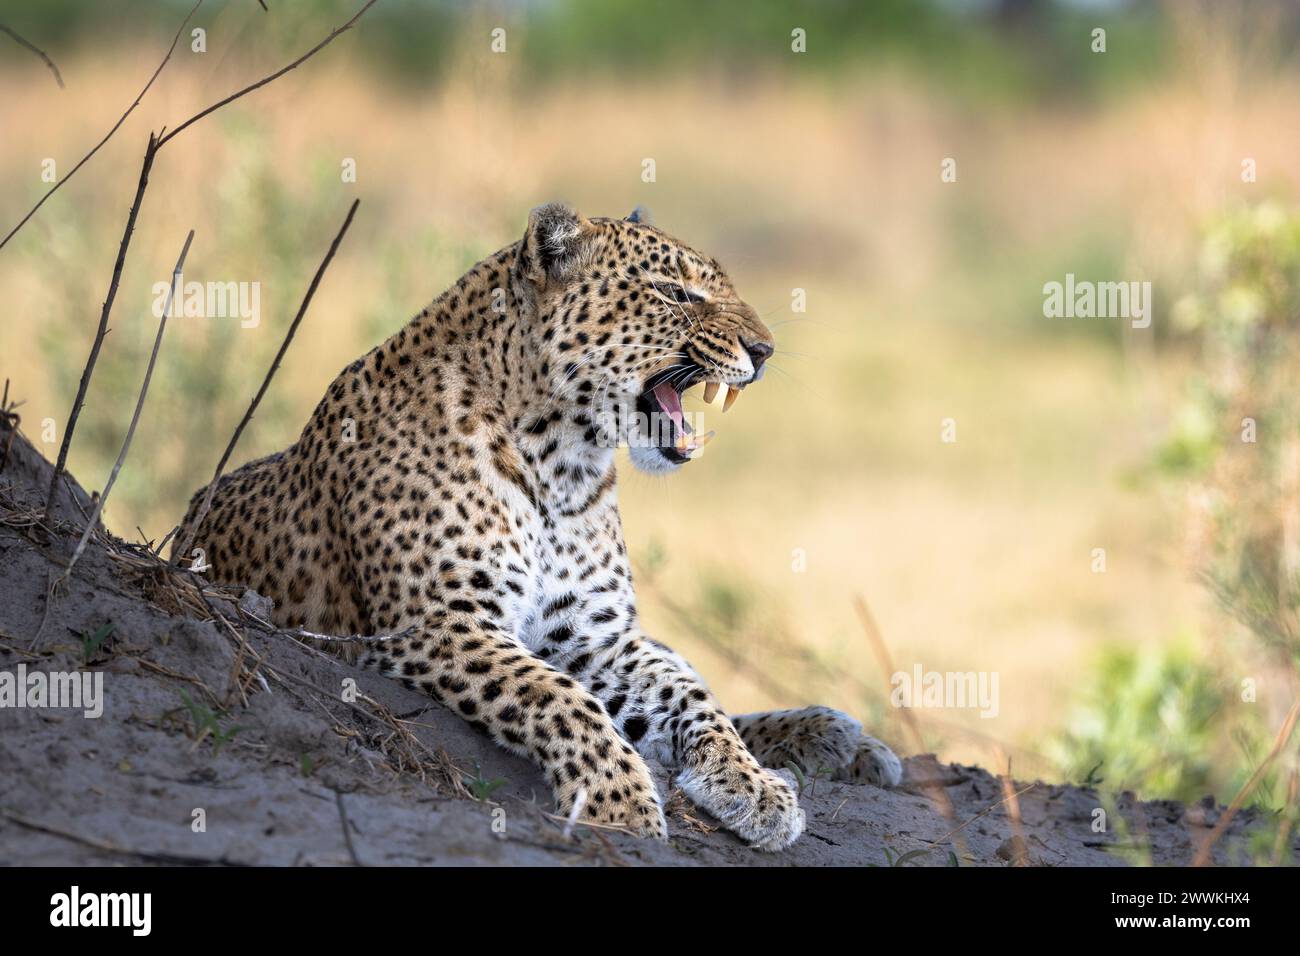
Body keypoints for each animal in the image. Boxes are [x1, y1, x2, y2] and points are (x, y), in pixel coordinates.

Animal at [174, 203, 902, 851]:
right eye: (674, 294)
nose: (766, 350)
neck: (563, 463)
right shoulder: (441, 623)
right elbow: (560, 699)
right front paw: (621, 802)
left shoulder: (593, 639)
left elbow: (691, 698)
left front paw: (751, 786)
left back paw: (839, 736)